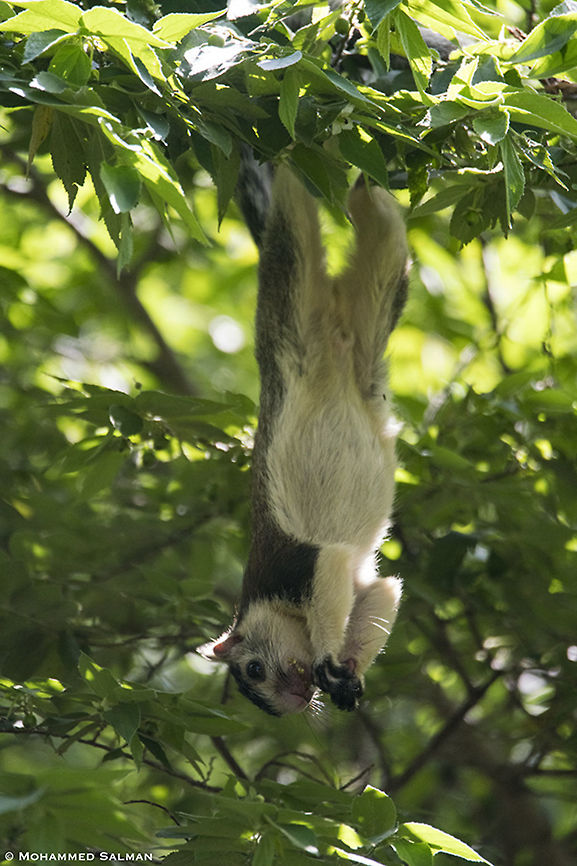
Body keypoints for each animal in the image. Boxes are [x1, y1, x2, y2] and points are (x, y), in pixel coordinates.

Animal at [200, 155, 408, 715]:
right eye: (259, 698)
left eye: (253, 669)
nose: (294, 700)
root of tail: (332, 337)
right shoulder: (362, 584)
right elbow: (383, 591)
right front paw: (348, 676)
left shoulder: (294, 566)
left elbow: (328, 561)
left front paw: (327, 660)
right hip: (370, 341)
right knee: (388, 250)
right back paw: (374, 196)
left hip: (288, 310)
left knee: (291, 225)